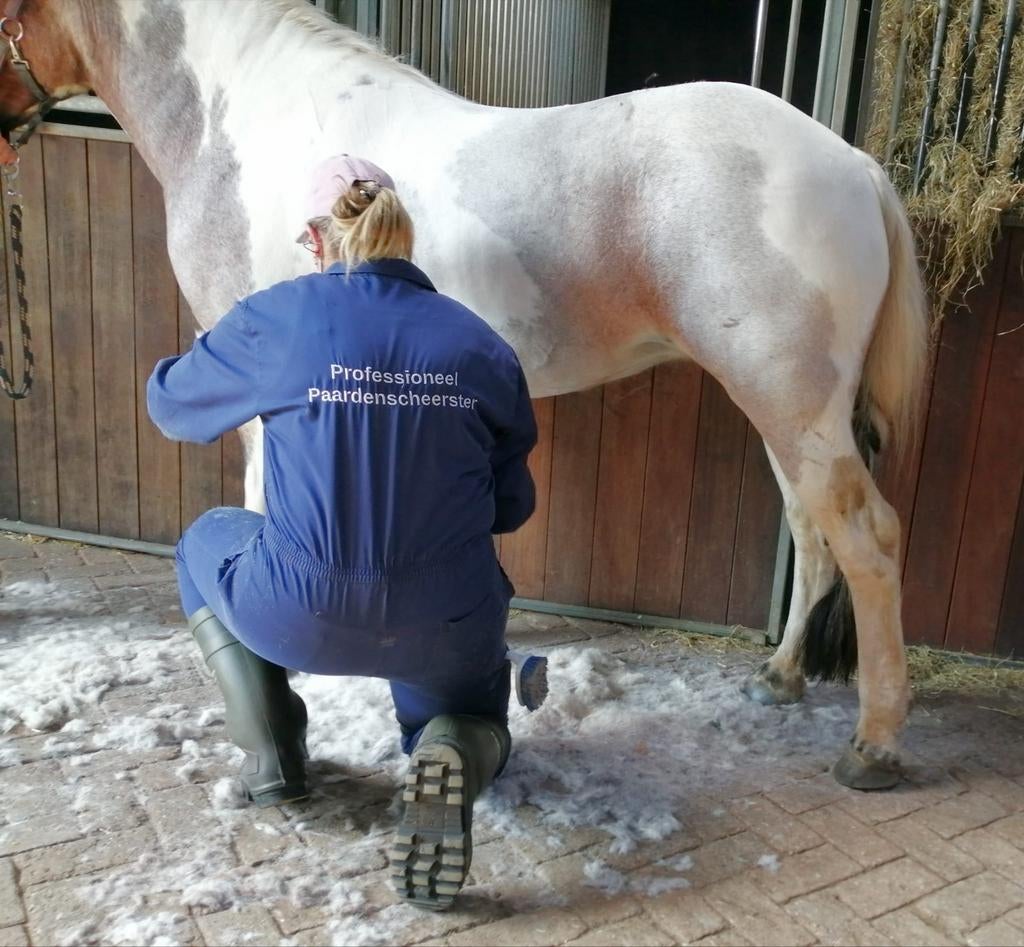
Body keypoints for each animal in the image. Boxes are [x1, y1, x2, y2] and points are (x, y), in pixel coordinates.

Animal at [0, 0, 930, 791]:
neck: (246, 119)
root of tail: (855, 164)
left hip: (790, 402)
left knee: (871, 539)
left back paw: (876, 744)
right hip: (788, 409)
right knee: (813, 532)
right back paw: (781, 677)